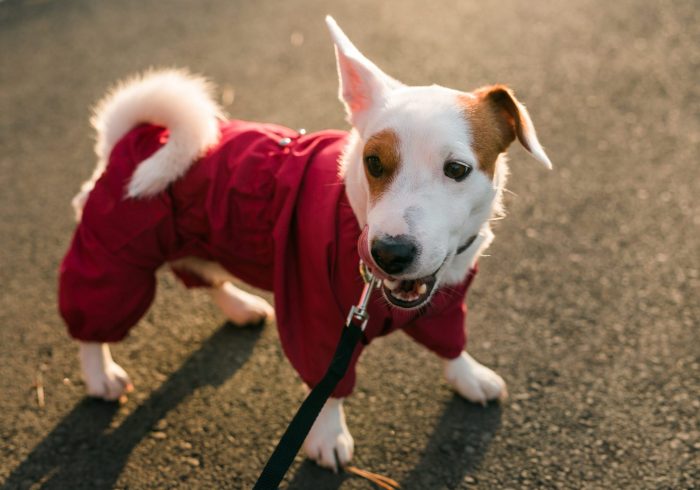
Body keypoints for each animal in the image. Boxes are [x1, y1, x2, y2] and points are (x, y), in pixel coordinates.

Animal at [58, 16, 552, 470]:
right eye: (374, 162)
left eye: (457, 170)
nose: (388, 253)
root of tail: (135, 135)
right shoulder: (315, 315)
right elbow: (327, 386)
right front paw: (328, 435)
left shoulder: (444, 304)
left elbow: (452, 343)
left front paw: (468, 375)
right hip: (114, 257)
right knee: (92, 322)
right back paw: (100, 373)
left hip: (192, 242)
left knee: (205, 275)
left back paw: (239, 306)